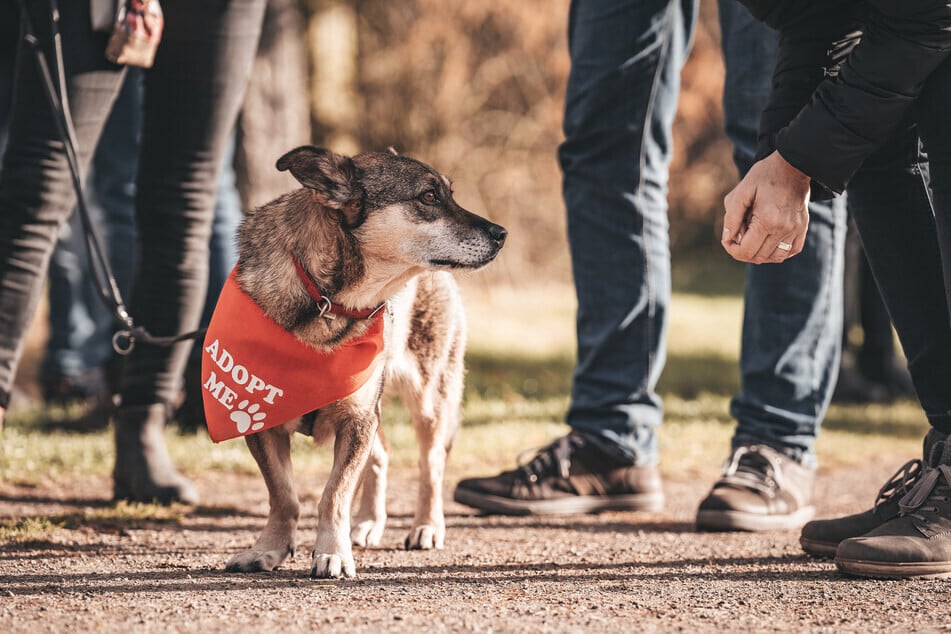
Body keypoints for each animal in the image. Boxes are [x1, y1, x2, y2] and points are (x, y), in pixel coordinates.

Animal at [214, 146, 506, 576]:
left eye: (449, 193)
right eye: (429, 197)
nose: (502, 234)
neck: (326, 300)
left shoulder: (356, 418)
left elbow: (334, 493)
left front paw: (332, 552)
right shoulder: (262, 422)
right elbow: (284, 495)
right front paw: (269, 548)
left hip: (429, 399)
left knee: (431, 464)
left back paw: (426, 526)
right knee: (381, 454)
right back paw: (368, 523)